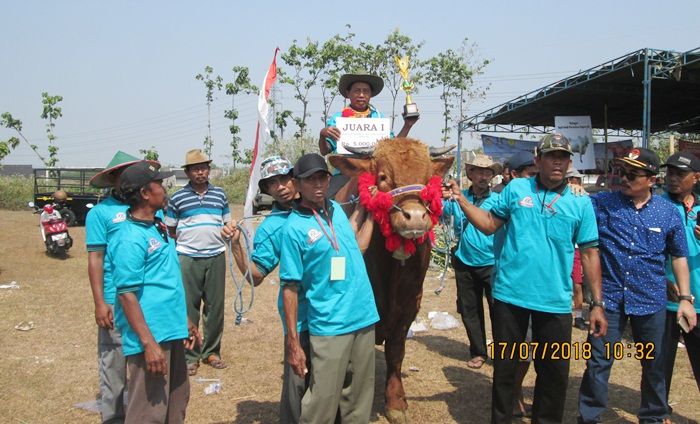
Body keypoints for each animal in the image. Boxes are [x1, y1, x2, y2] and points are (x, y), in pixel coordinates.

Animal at [330, 138, 454, 420]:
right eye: (383, 177)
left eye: (428, 180)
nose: (415, 217)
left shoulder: (410, 305)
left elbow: (396, 352)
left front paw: (395, 402)